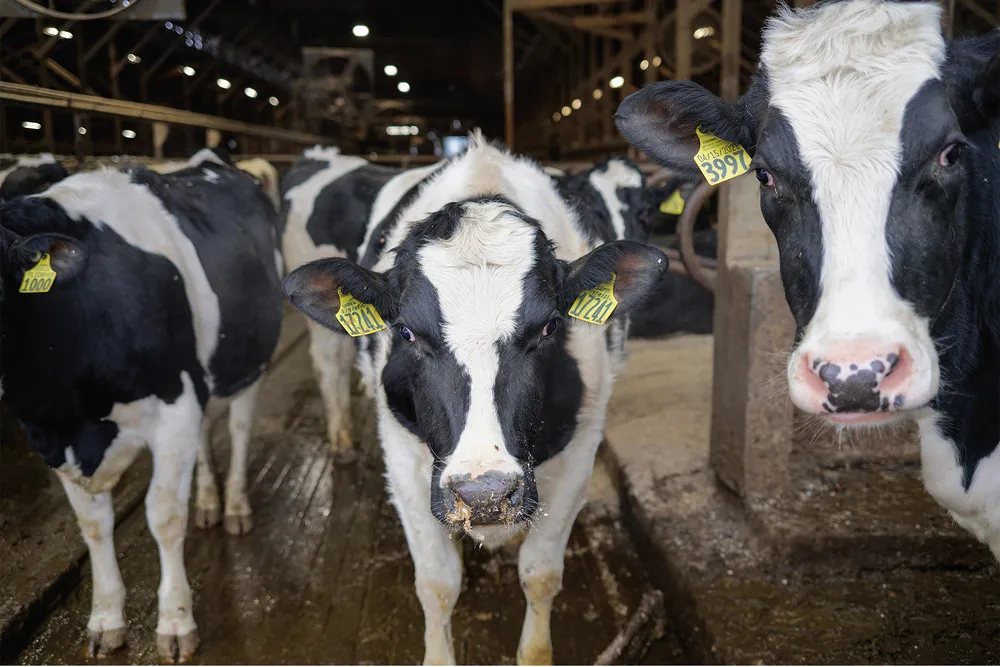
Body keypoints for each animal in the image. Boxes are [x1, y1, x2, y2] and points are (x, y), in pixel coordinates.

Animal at [0, 150, 284, 660]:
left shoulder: (174, 409)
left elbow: (164, 516)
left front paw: (175, 623)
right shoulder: (51, 437)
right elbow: (93, 525)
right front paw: (105, 618)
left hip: (249, 361)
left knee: (238, 430)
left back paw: (234, 506)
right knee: (207, 436)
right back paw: (208, 501)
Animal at [282, 133, 667, 664]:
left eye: (550, 327)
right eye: (406, 332)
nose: (484, 495)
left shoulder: (580, 451)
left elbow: (541, 576)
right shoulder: (404, 461)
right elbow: (438, 584)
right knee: (329, 365)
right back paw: (340, 443)